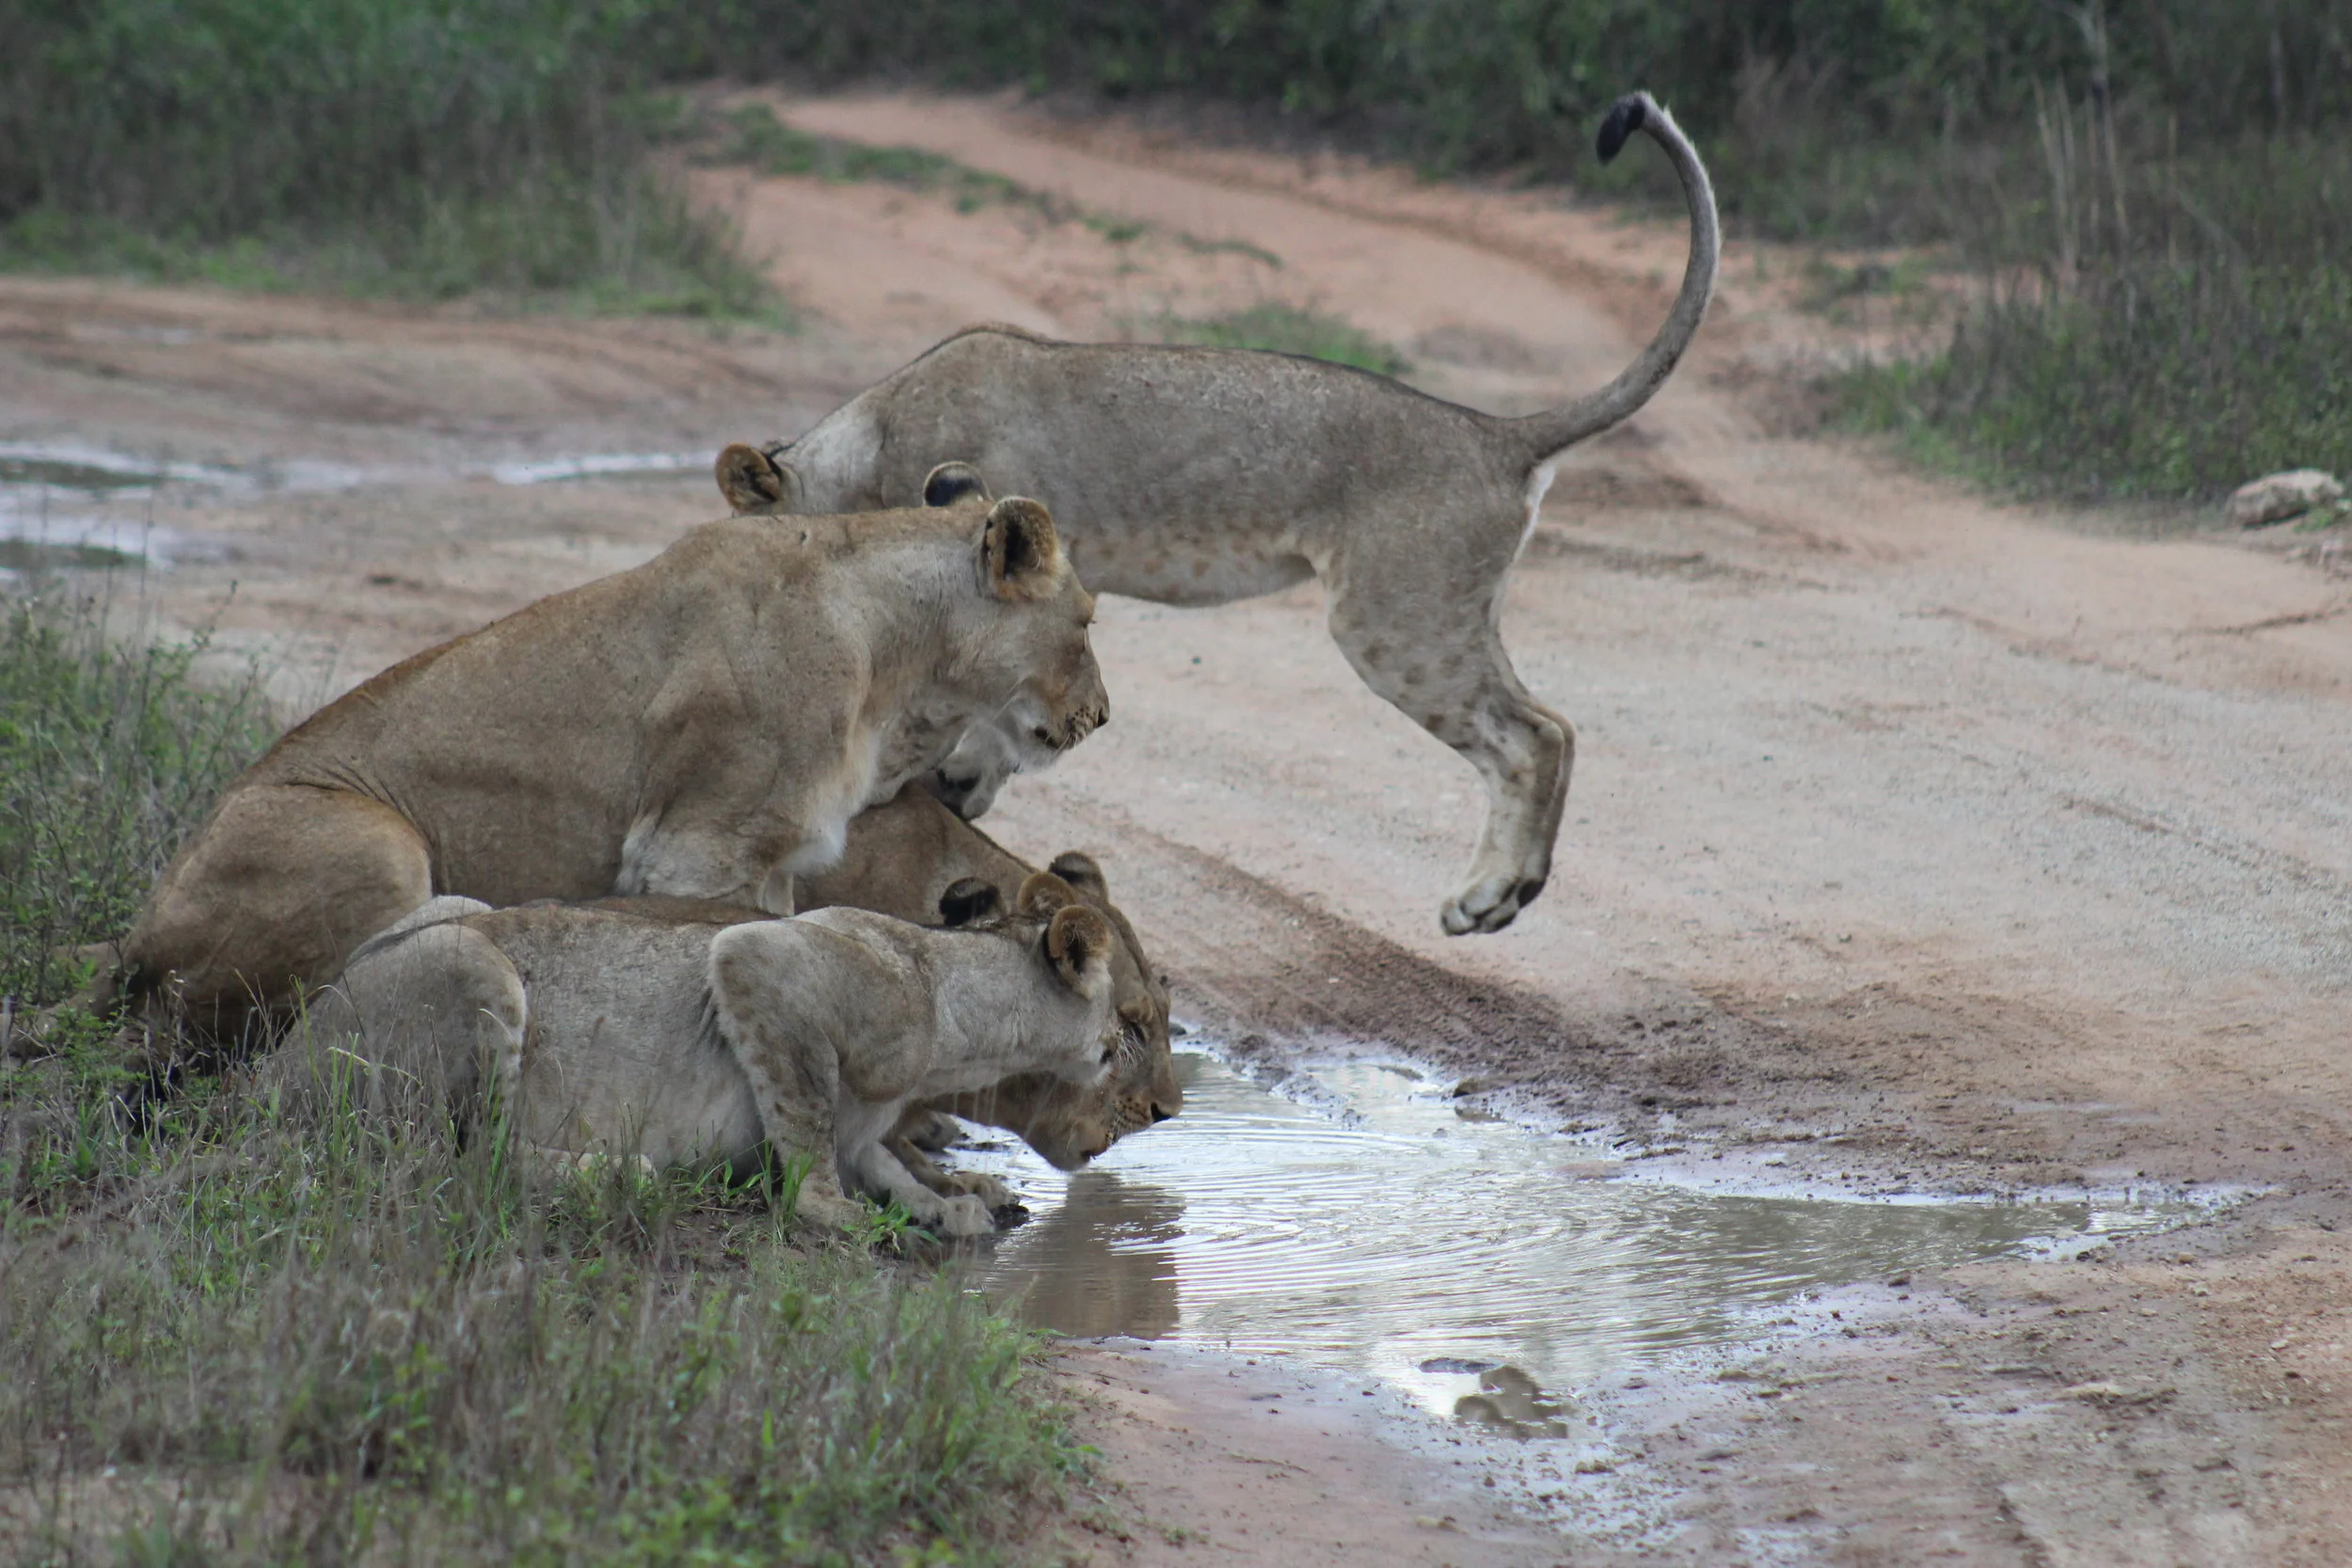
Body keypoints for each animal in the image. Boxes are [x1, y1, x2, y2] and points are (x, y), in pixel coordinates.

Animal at [123, 493, 1105, 1046]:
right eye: (1089, 621)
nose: (1100, 716)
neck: (899, 660)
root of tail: (137, 930)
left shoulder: (776, 858)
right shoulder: (701, 846)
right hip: (380, 847)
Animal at [269, 874, 1119, 1238]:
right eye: (1120, 1019)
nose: (1120, 1051)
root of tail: (280, 1061)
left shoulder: (865, 1129)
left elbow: (885, 1161)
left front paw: (945, 1204)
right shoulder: (759, 960)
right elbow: (806, 1131)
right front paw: (836, 1211)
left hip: (456, 908)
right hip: (476, 964)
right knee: (471, 1157)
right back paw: (615, 1172)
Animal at [719, 92, 1717, 936]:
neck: (868, 446)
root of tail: (1494, 433)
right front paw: (964, 781)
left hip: (1397, 621)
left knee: (1538, 733)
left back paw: (1489, 897)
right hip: (1451, 612)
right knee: (1549, 728)